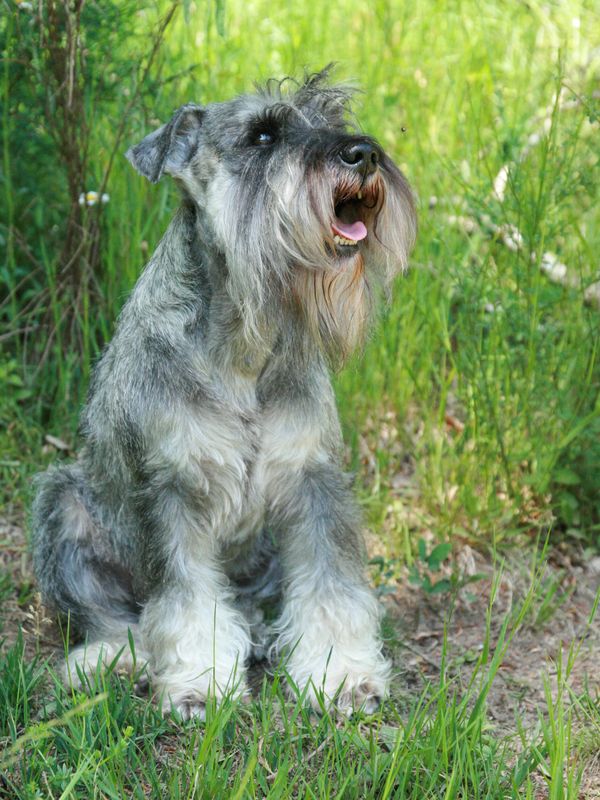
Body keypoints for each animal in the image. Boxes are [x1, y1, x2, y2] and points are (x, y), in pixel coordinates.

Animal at [31, 69, 418, 720]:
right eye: (263, 134)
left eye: (334, 119)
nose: (363, 154)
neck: (245, 346)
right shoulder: (172, 491)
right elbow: (185, 598)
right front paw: (200, 682)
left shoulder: (312, 479)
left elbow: (331, 585)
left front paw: (341, 676)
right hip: (64, 506)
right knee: (108, 614)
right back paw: (110, 660)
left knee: (253, 600)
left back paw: (259, 631)